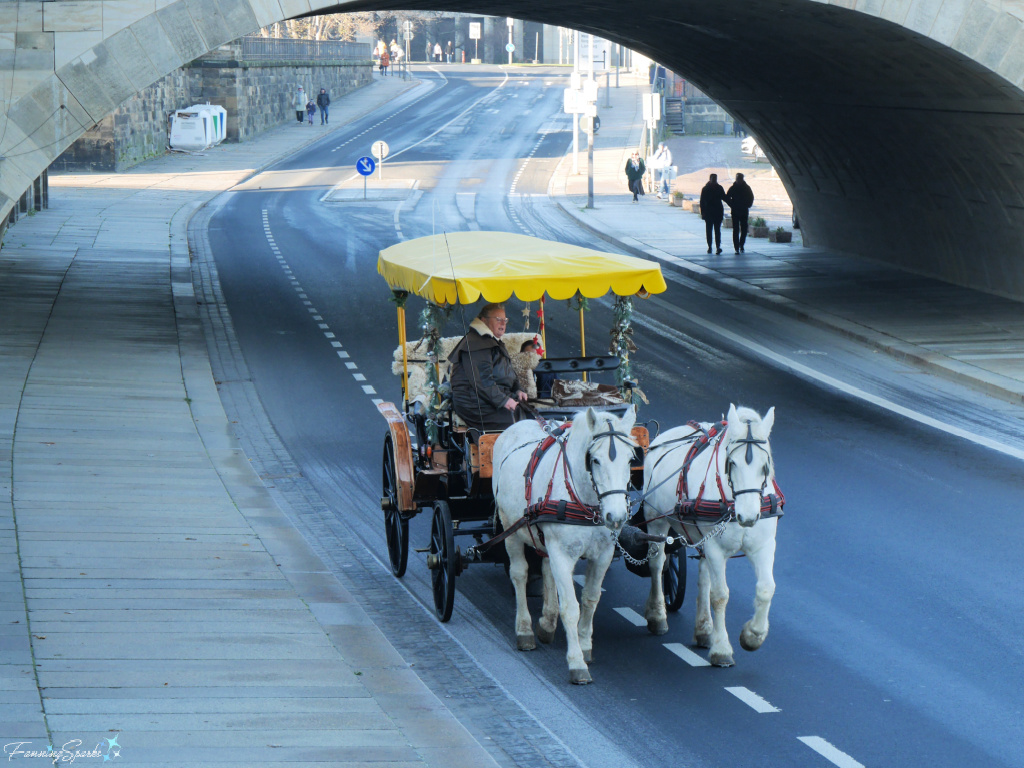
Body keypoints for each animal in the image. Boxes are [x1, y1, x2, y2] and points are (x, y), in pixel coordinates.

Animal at [491, 409, 634, 684]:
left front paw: (585, 645)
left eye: (631, 459)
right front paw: (576, 662)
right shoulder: (562, 553)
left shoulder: (603, 555)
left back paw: (547, 622)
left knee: (547, 570)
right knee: (519, 574)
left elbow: (590, 599)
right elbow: (571, 607)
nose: (616, 516)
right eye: (595, 460)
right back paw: (524, 630)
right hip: (509, 529)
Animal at [643, 405, 778, 671]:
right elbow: (721, 595)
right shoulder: (716, 547)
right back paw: (657, 615)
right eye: (732, 463)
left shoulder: (764, 545)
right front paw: (722, 649)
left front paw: (753, 635)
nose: (748, 516)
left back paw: (704, 630)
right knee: (657, 564)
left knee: (703, 576)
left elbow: (766, 588)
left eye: (765, 464)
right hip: (656, 521)